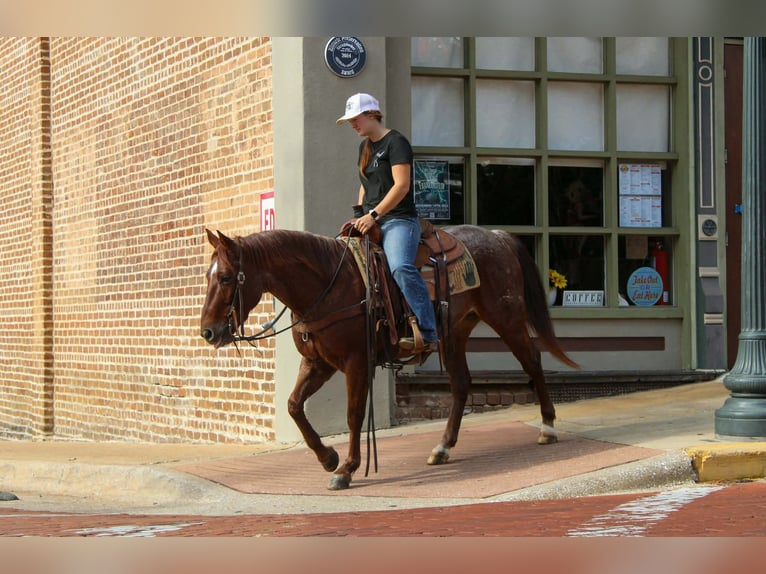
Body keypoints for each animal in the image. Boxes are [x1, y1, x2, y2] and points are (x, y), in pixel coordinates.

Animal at [200, 225, 578, 490]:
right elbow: (294, 406)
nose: (208, 332)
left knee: (533, 363)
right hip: (454, 333)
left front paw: (347, 469)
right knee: (461, 384)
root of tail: (498, 236)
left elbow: (353, 415)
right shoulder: (317, 363)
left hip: (506, 318)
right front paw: (328, 457)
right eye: (208, 275)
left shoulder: (356, 364)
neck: (327, 285)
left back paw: (547, 426)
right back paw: (442, 448)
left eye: (226, 277)